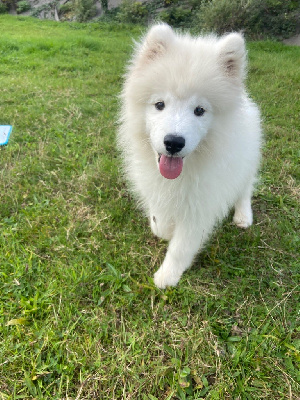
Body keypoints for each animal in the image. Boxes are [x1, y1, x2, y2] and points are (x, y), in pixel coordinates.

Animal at [116, 24, 260, 288]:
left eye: (200, 110)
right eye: (159, 104)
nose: (173, 142)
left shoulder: (201, 205)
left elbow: (181, 246)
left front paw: (167, 276)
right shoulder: (156, 186)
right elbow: (159, 223)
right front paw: (164, 228)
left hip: (247, 161)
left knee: (244, 188)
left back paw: (243, 215)